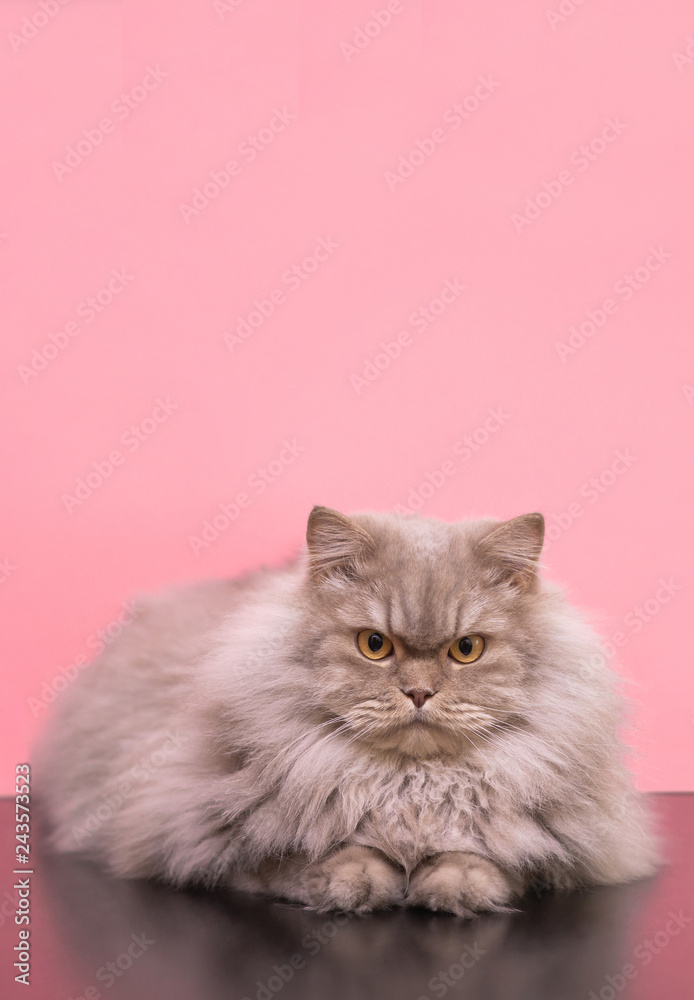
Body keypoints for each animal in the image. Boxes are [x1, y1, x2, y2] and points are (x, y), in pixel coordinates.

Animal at [32, 508, 664, 916]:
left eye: (466, 650)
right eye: (374, 645)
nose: (418, 693)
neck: (410, 784)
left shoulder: (573, 847)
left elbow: (492, 857)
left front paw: (452, 885)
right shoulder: (195, 837)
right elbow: (311, 858)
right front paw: (361, 881)